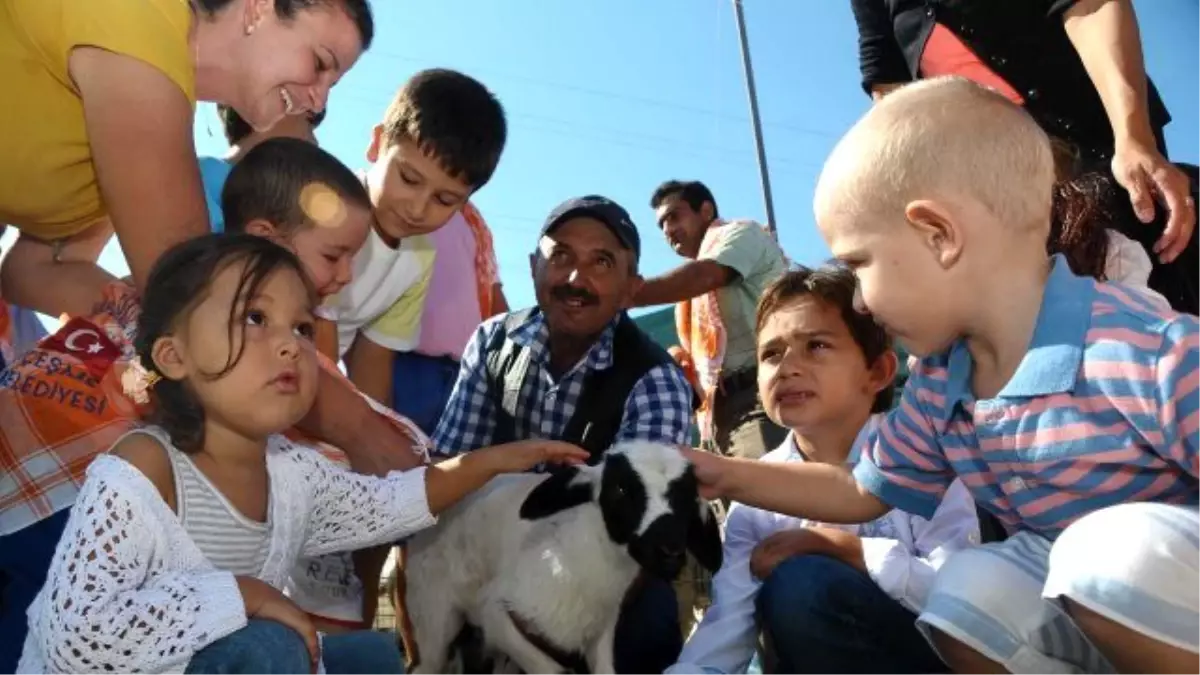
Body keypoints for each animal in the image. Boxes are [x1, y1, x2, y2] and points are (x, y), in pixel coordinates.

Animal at [400, 439, 720, 667]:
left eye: (689, 494)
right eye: (619, 488)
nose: (670, 550)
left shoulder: (600, 634)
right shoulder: (497, 615)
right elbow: (551, 669)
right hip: (435, 618)